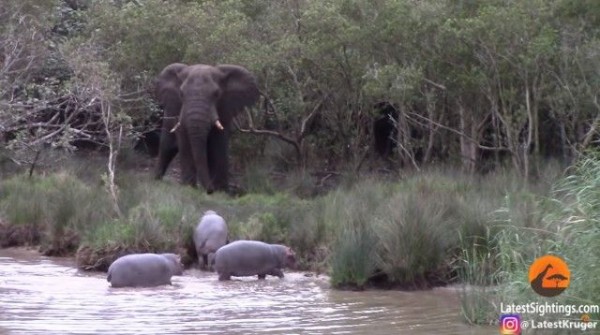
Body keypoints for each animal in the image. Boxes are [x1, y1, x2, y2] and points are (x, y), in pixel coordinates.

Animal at [151, 63, 258, 194]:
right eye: (181, 94)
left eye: (217, 94)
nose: (209, 190)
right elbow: (185, 144)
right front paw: (189, 187)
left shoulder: (224, 111)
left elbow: (218, 146)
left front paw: (221, 191)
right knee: (167, 147)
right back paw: (156, 179)